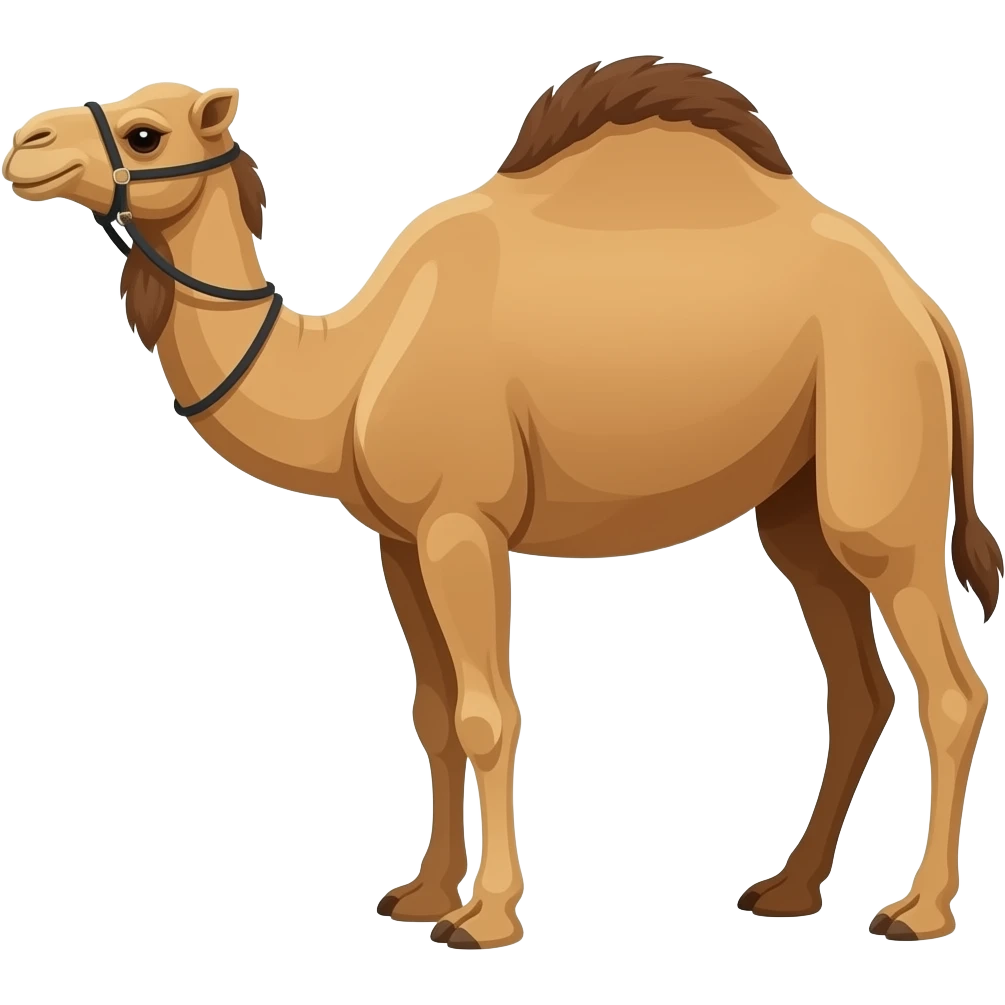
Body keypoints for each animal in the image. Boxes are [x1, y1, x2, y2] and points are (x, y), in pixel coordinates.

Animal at [3, 59, 999, 948]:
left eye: (144, 132)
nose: (25, 142)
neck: (349, 370)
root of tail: (926, 312)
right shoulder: (399, 540)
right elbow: (433, 713)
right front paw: (418, 894)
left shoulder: (461, 523)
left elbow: (489, 712)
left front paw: (483, 918)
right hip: (797, 507)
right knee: (857, 686)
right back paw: (788, 889)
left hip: (880, 479)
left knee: (950, 687)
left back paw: (919, 912)